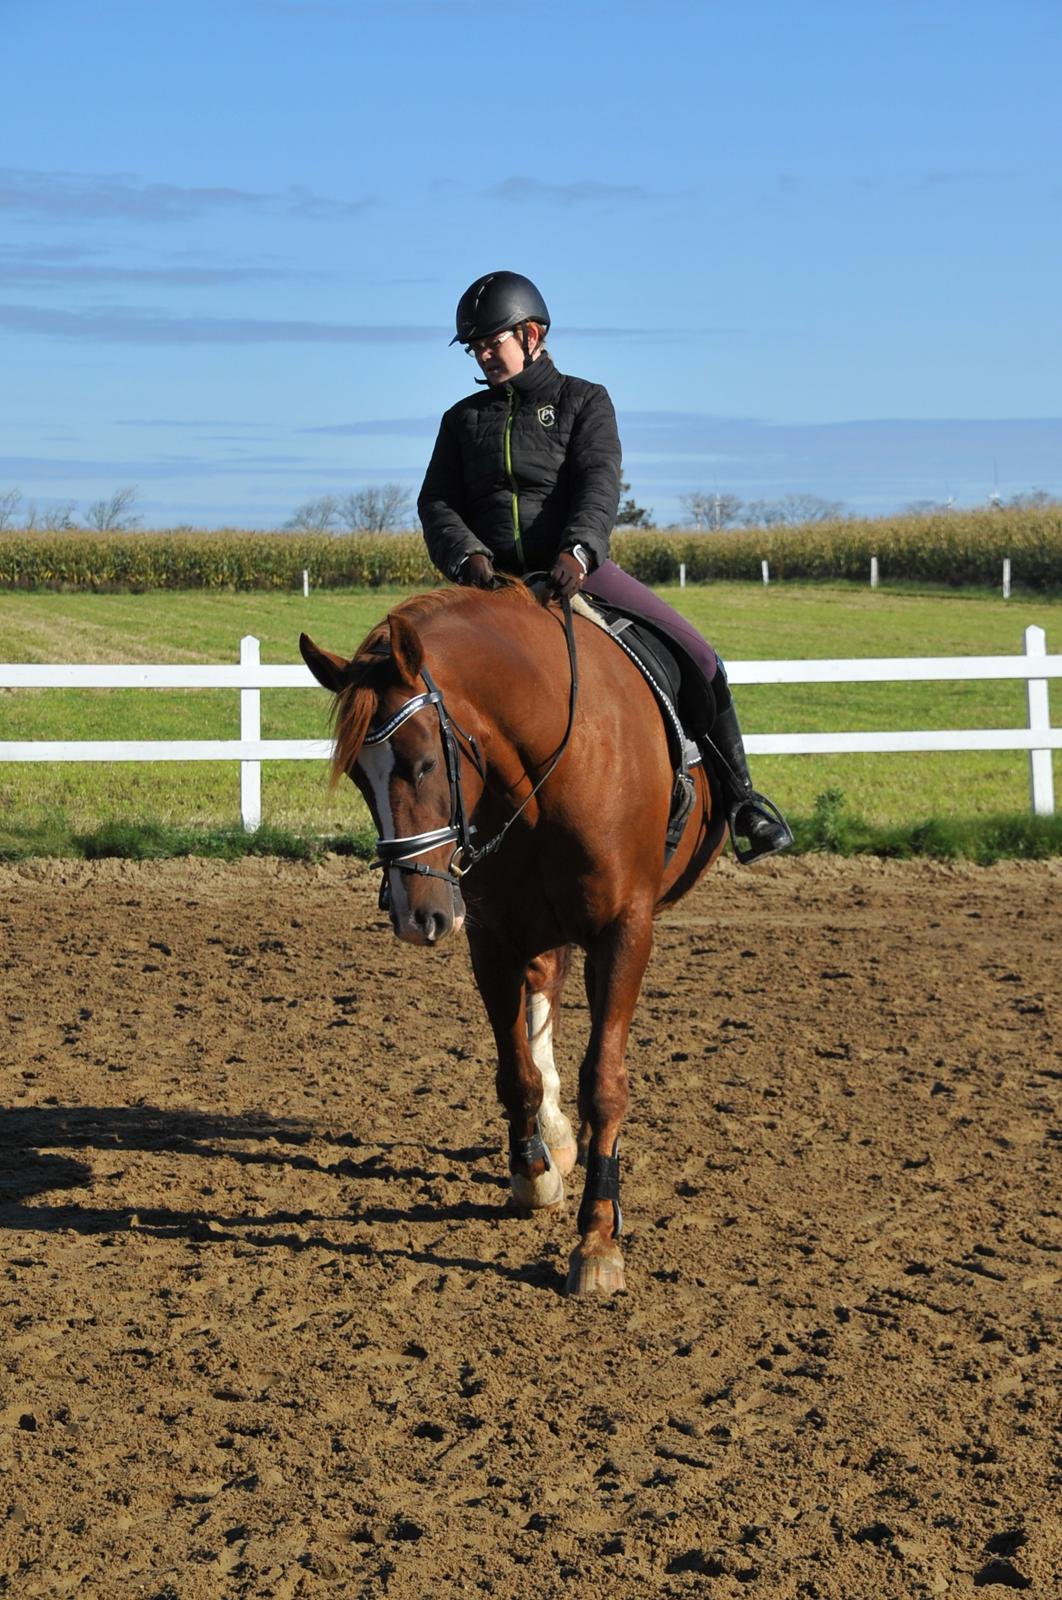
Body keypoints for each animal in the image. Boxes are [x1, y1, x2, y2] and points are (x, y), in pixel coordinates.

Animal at [302, 582, 726, 1292]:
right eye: (360, 777)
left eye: (422, 764)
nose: (415, 916)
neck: (555, 761)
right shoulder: (494, 937)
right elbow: (515, 1072)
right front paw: (533, 1176)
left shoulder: (624, 931)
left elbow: (604, 1082)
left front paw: (598, 1240)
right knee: (543, 992)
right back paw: (553, 1136)